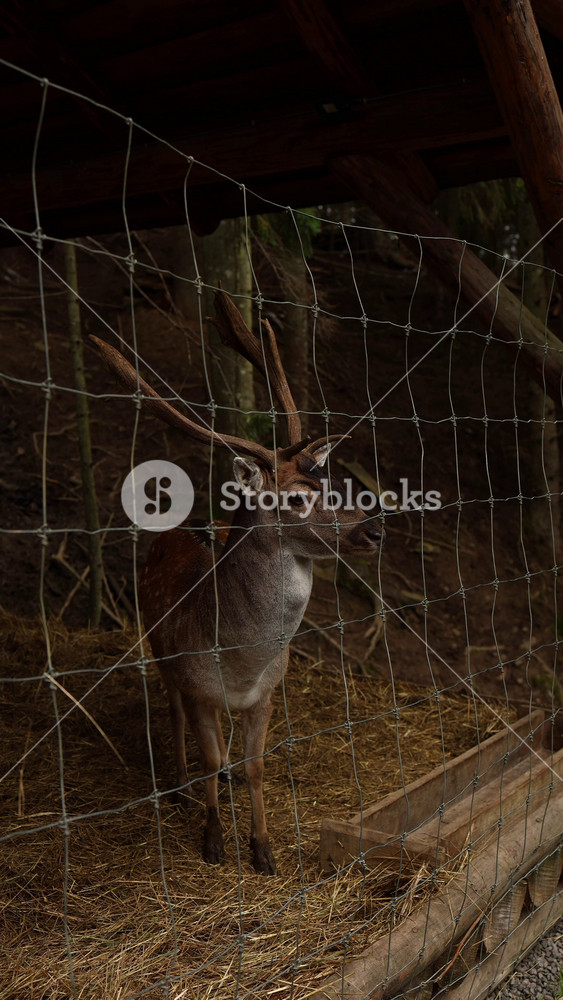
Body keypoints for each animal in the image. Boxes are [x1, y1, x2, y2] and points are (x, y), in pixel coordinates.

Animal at [92, 289, 381, 875]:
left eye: (334, 482)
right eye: (297, 497)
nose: (374, 529)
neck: (241, 660)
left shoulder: (268, 694)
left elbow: (255, 767)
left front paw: (263, 850)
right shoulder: (197, 684)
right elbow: (204, 750)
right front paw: (213, 843)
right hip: (159, 652)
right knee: (173, 714)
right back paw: (182, 788)